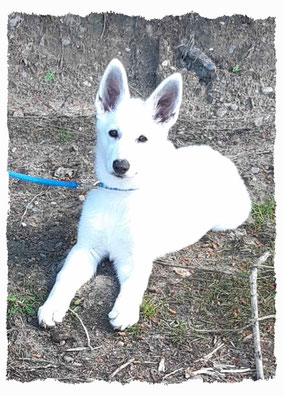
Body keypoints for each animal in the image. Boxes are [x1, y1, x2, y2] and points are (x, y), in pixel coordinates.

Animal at [37, 58, 251, 332]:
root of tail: (218, 155)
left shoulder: (135, 258)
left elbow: (135, 282)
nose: (121, 165)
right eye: (113, 133)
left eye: (142, 138)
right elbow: (64, 276)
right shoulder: (85, 249)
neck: (120, 196)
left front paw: (126, 308)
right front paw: (53, 305)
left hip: (229, 219)